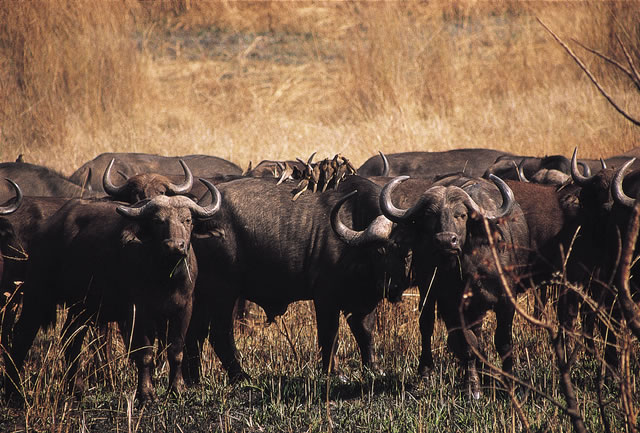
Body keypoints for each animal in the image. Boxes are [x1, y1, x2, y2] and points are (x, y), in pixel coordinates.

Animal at [3, 180, 221, 402]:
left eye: (187, 220)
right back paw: (14, 392)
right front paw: (146, 394)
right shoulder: (137, 311)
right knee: (23, 333)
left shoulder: (184, 308)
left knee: (71, 336)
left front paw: (177, 389)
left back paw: (77, 388)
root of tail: (46, 229)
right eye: (157, 221)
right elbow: (144, 353)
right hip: (37, 292)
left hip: (82, 305)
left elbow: (176, 350)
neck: (166, 277)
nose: (175, 246)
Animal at [181, 174, 410, 384]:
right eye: (379, 251)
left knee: (195, 332)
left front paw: (374, 368)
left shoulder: (363, 301)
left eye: (404, 251)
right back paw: (240, 376)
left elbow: (365, 333)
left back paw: (194, 378)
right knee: (219, 332)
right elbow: (330, 334)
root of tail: (199, 219)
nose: (394, 286)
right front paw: (333, 372)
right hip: (224, 291)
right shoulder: (325, 299)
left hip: (204, 294)